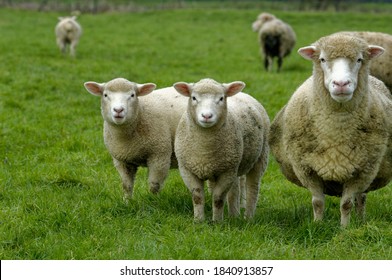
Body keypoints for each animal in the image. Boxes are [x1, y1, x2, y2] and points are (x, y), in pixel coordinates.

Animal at [174, 77, 270, 222]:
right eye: (194, 97)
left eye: (221, 98)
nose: (206, 116)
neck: (204, 148)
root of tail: (243, 94)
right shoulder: (187, 170)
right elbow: (197, 197)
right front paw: (198, 221)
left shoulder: (227, 172)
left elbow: (218, 198)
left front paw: (217, 222)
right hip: (231, 164)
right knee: (235, 189)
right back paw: (234, 214)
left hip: (259, 158)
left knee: (253, 187)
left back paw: (248, 217)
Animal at [270, 32, 392, 226]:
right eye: (322, 59)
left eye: (359, 59)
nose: (341, 84)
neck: (336, 130)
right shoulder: (307, 170)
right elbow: (318, 202)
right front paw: (317, 225)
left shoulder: (361, 172)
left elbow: (347, 204)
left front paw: (345, 228)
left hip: (369, 172)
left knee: (361, 198)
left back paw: (361, 220)